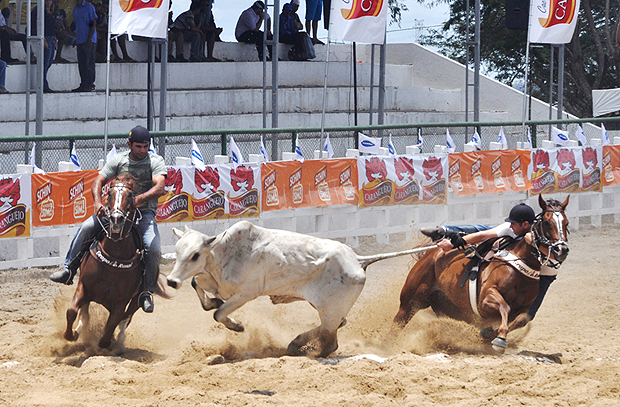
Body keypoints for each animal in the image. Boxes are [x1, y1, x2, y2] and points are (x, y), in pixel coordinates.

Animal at [64, 174, 144, 350]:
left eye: (130, 195)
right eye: (109, 193)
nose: (116, 219)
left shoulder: (121, 302)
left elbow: (112, 325)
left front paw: (107, 342)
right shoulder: (83, 287)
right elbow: (72, 311)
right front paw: (70, 335)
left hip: (137, 298)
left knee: (125, 319)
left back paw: (119, 341)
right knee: (85, 315)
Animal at [167, 222, 434, 358]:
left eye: (195, 255)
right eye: (178, 251)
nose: (170, 281)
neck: (225, 253)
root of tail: (358, 260)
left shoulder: (245, 294)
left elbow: (218, 313)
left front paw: (237, 326)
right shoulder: (215, 284)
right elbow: (198, 287)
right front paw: (211, 301)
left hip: (329, 310)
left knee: (331, 341)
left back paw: (307, 351)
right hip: (327, 308)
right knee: (339, 324)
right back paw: (295, 344)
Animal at [394, 194, 568, 350]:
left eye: (566, 223)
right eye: (547, 222)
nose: (562, 250)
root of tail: (431, 254)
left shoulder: (525, 308)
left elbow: (520, 319)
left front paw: (491, 334)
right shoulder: (485, 299)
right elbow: (504, 307)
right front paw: (499, 338)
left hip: (448, 306)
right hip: (411, 301)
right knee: (397, 324)